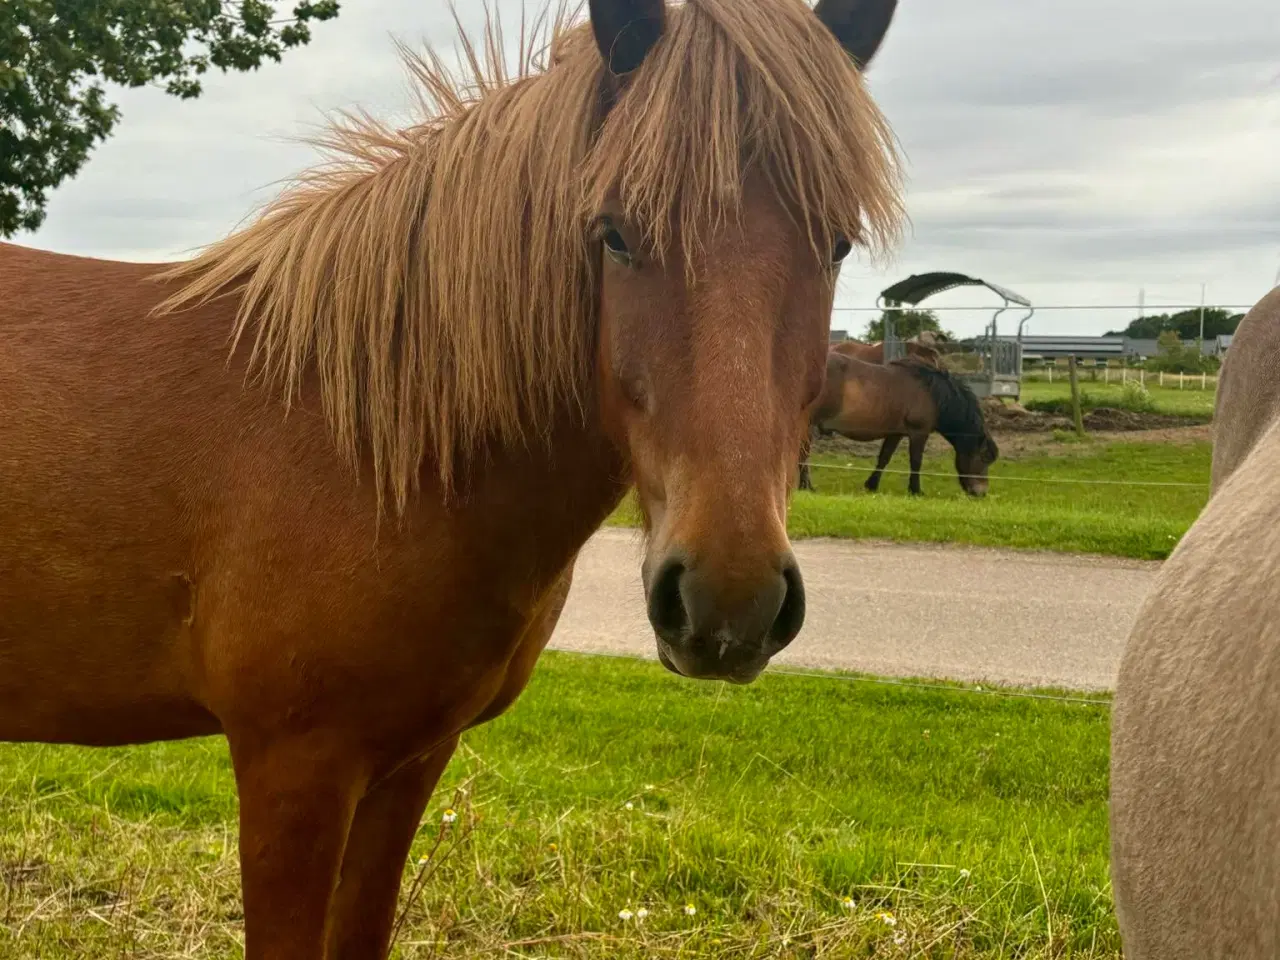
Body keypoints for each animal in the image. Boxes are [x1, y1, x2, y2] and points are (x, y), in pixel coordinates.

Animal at [0, 1, 906, 960]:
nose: (729, 600)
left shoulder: (407, 764)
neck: (368, 440)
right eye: (615, 234)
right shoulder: (294, 768)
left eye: (837, 242)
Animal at [798, 358, 998, 499]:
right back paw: (806, 486)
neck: (932, 393)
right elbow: (916, 462)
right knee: (803, 454)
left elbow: (884, 458)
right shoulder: (919, 433)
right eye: (984, 457)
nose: (981, 493)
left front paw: (871, 485)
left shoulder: (896, 433)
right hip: (808, 424)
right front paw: (916, 490)